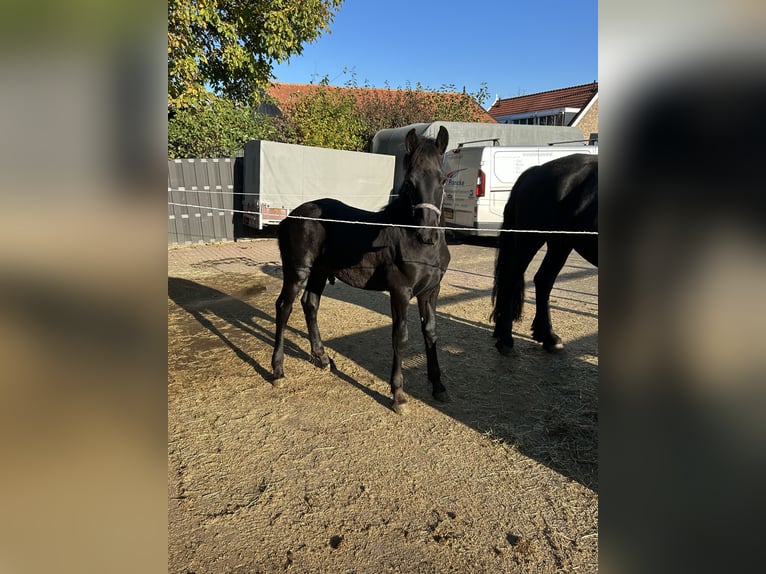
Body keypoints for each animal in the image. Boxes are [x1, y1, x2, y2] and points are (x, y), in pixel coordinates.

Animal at [271, 126, 451, 414]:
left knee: (310, 304)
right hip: (298, 271)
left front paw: (438, 387)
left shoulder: (431, 291)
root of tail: (293, 215)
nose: (427, 234)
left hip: (319, 272)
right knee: (284, 308)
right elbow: (400, 336)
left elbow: (431, 333)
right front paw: (398, 395)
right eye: (410, 182)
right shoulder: (400, 291)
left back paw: (323, 358)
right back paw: (277, 371)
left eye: (443, 180)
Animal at [491, 153, 598, 354]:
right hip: (530, 241)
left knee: (543, 280)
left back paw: (548, 337)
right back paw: (506, 339)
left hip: (560, 244)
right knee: (511, 280)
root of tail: (536, 170)